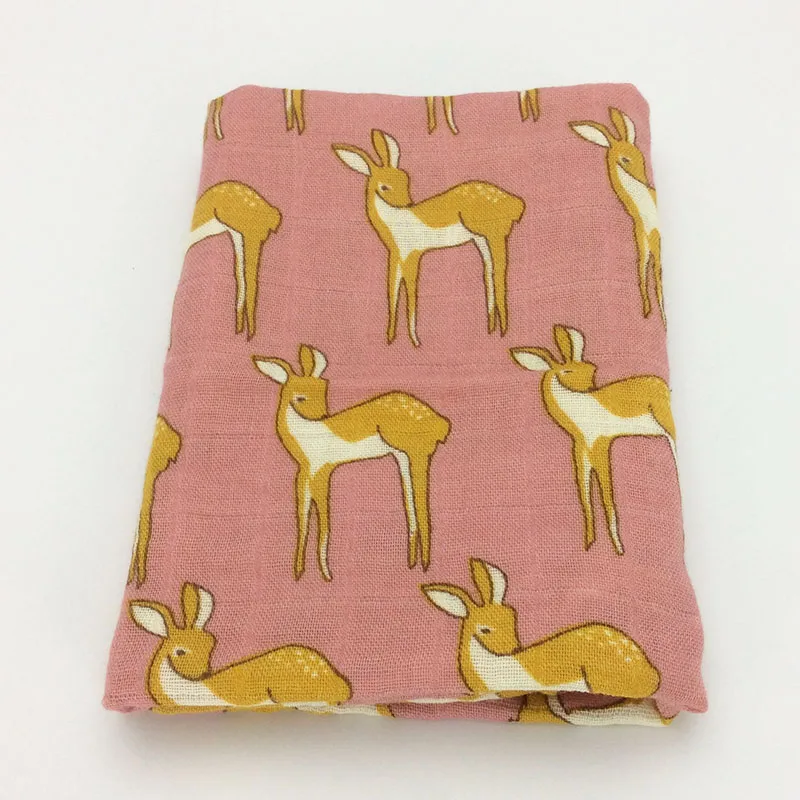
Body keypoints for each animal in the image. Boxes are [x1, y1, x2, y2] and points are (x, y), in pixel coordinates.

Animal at [253, 345, 451, 580]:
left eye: (325, 391)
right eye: (300, 398)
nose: (323, 417)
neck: (306, 438)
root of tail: (442, 422)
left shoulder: (323, 469)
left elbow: (324, 522)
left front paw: (325, 573)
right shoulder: (304, 473)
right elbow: (302, 519)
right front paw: (300, 571)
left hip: (417, 452)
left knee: (423, 509)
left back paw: (424, 566)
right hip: (401, 456)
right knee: (412, 504)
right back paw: (413, 563)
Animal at [333, 130, 525, 345]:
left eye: (406, 179)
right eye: (384, 187)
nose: (408, 204)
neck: (395, 223)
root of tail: (517, 202)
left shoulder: (413, 253)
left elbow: (410, 291)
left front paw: (414, 340)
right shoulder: (395, 255)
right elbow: (392, 290)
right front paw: (391, 337)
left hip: (494, 233)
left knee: (500, 272)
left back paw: (502, 330)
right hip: (480, 239)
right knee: (489, 271)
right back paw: (492, 327)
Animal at [510, 325, 678, 556]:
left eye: (593, 369)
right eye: (567, 371)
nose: (591, 391)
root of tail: (659, 381)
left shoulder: (601, 444)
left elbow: (607, 499)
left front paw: (617, 547)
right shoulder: (580, 452)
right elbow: (585, 498)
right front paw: (590, 542)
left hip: (666, 428)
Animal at [570, 107, 664, 324]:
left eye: (641, 157)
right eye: (625, 159)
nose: (647, 182)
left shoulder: (652, 240)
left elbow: (654, 276)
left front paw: (657, 315)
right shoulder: (642, 242)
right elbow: (643, 274)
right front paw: (647, 311)